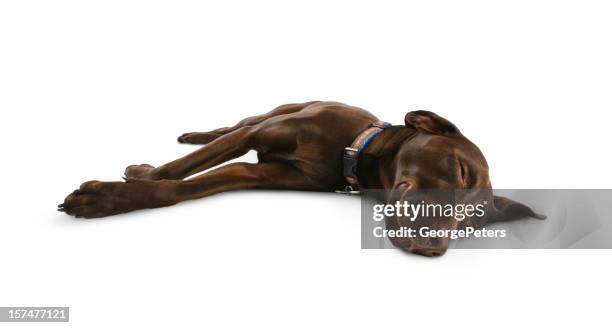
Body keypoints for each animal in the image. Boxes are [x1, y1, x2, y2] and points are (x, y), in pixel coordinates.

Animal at [59, 101, 544, 255]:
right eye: (461, 170)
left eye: (471, 223)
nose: (434, 248)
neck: (353, 151)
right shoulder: (256, 137)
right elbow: (180, 168)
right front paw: (133, 179)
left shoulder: (252, 172)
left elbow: (179, 187)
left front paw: (113, 196)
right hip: (272, 114)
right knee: (231, 125)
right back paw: (194, 134)